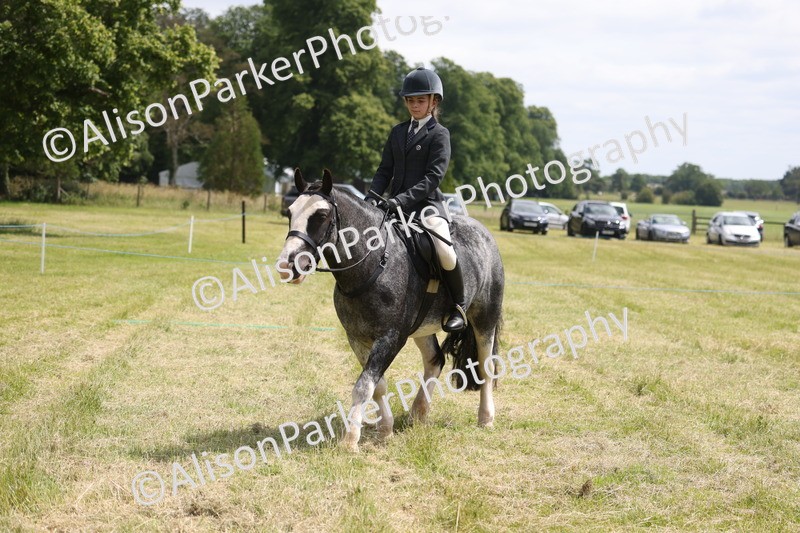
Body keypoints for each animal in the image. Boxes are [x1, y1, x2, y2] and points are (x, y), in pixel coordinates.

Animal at [277, 168, 504, 452]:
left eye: (320, 215)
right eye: (290, 212)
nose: (287, 265)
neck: (373, 262)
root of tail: (484, 233)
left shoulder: (391, 338)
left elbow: (364, 385)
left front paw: (350, 441)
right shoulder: (357, 338)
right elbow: (377, 385)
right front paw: (385, 430)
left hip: (485, 319)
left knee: (485, 366)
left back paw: (486, 418)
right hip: (422, 327)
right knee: (435, 361)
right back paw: (418, 413)